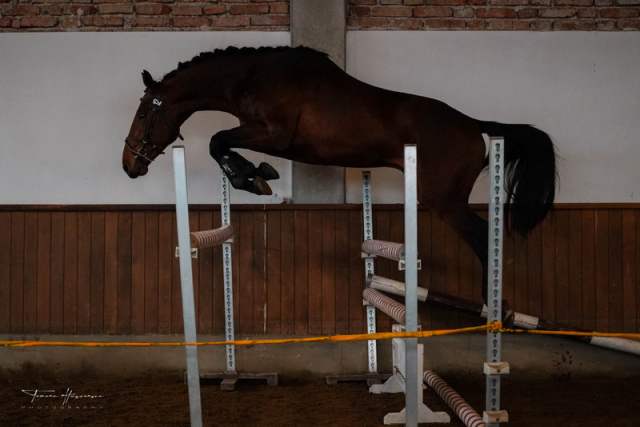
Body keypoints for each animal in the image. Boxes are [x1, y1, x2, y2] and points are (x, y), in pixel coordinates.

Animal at [122, 46, 556, 300]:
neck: (251, 76)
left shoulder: (274, 135)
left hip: (444, 201)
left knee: (483, 237)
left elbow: (217, 141)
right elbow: (222, 143)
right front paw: (256, 175)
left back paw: (492, 307)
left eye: (143, 112)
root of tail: (474, 126)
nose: (129, 165)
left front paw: (253, 177)